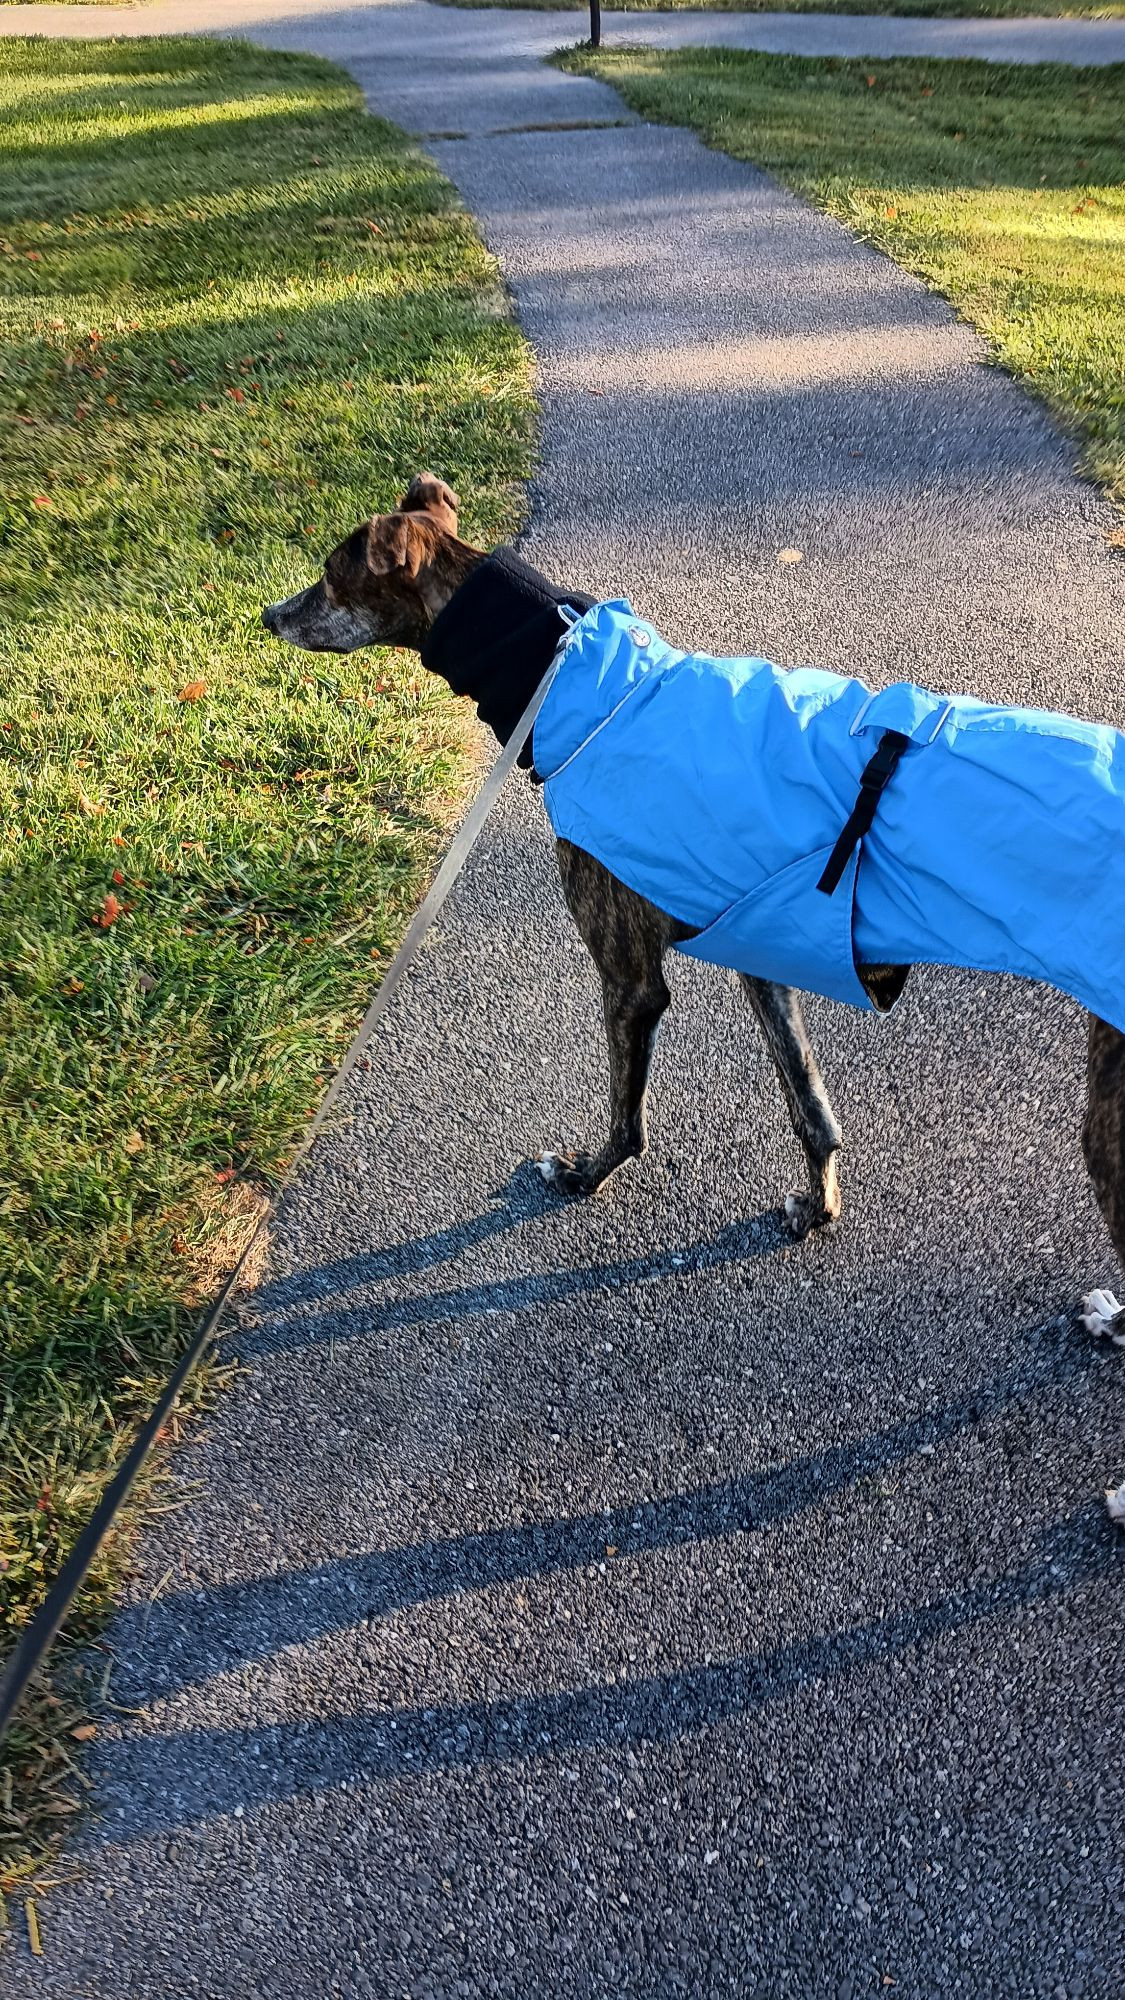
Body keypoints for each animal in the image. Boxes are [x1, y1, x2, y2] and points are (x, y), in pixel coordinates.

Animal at [264, 476, 1120, 1520]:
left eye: (331, 573)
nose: (267, 617)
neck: (577, 676)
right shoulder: (764, 950)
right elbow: (812, 1111)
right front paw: (814, 1209)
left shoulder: (630, 977)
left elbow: (627, 1118)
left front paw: (583, 1176)